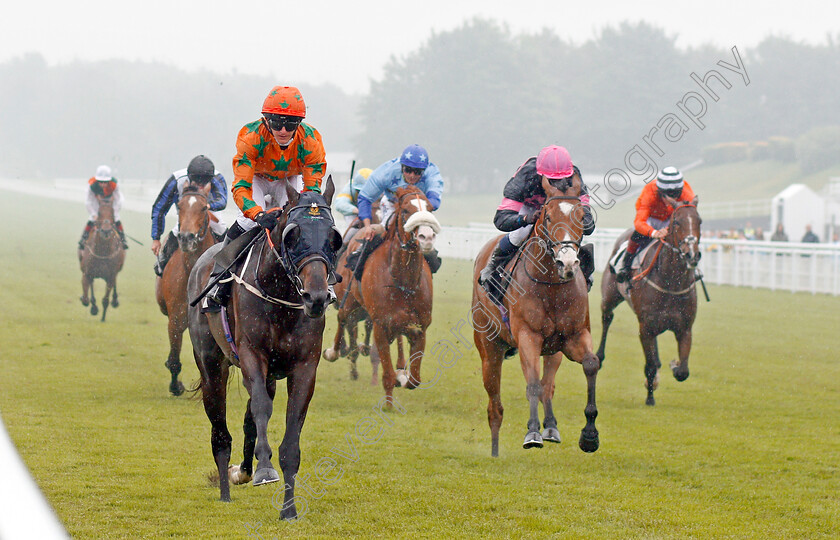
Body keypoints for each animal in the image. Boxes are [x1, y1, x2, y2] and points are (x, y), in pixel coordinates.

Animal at [156, 184, 218, 394]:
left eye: (204, 207)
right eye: (179, 207)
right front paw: (176, 386)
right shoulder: (175, 319)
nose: (186, 238)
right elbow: (174, 358)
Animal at [187, 177, 342, 520]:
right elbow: (260, 409)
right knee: (221, 431)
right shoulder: (251, 356)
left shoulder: (304, 367)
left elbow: (290, 437)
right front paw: (265, 470)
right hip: (211, 364)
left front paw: (288, 510)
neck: (281, 295)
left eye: (334, 238)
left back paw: (242, 471)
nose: (316, 297)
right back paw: (226, 489)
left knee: (247, 421)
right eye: (293, 235)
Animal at [470, 173, 600, 456]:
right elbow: (531, 383)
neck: (551, 285)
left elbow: (590, 364)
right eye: (548, 216)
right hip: (489, 349)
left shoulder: (574, 336)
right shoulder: (528, 337)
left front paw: (589, 435)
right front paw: (532, 433)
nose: (567, 262)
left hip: (553, 351)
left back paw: (551, 427)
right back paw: (495, 449)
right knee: (495, 405)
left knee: (548, 386)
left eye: (580, 215)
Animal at [596, 197, 704, 404]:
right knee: (606, 318)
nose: (692, 254)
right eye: (677, 222)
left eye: (699, 221)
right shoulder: (645, 328)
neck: (671, 283)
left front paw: (674, 365)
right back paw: (598, 356)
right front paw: (650, 397)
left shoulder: (685, 328)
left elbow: (683, 371)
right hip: (609, 297)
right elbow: (650, 365)